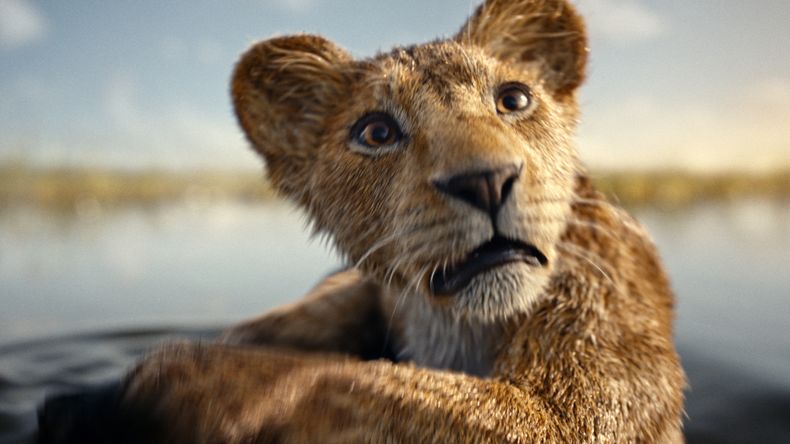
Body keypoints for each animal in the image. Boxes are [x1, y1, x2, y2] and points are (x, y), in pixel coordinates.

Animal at [38, 0, 685, 442]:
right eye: (376, 132)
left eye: (514, 99)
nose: (486, 180)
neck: (454, 324)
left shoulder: (580, 406)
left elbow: (350, 382)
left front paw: (176, 380)